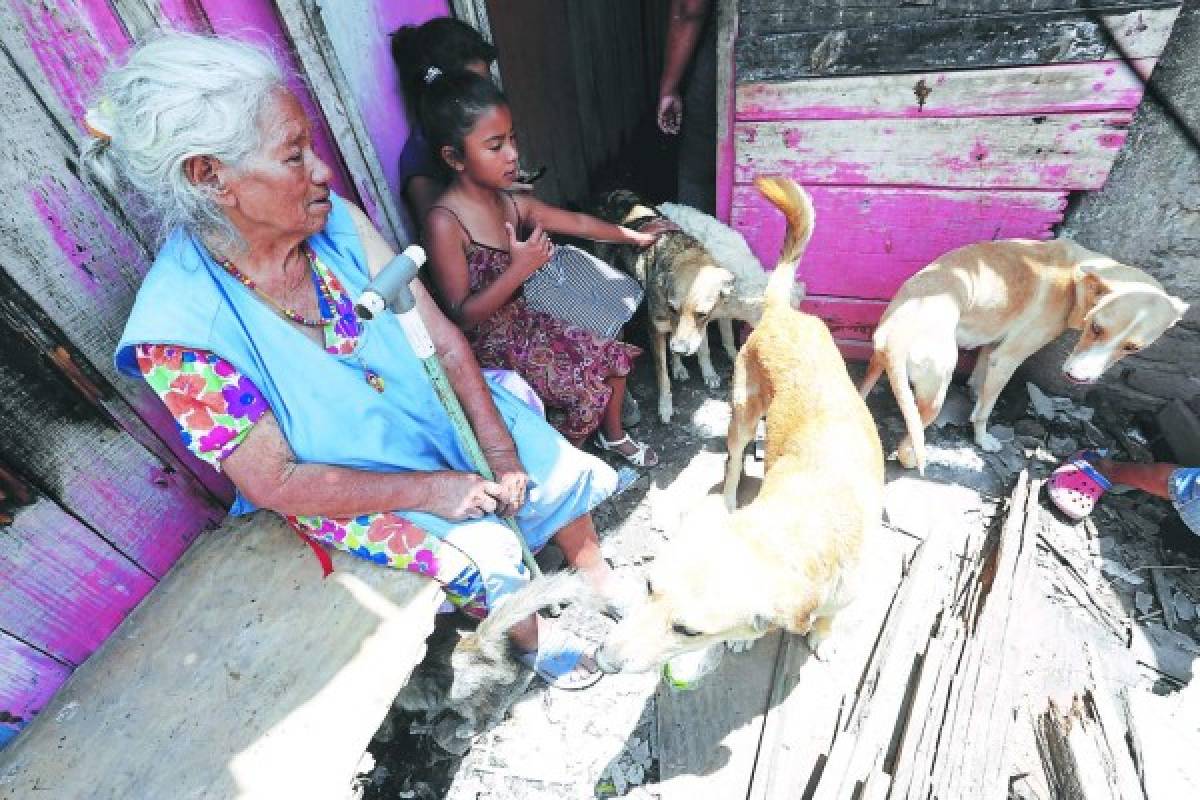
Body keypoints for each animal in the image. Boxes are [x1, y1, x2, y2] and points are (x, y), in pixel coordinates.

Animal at [592, 191, 806, 424]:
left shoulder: (716, 315)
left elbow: (724, 340)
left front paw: (730, 358)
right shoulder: (705, 317)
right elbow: (706, 347)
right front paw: (712, 371)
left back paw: (678, 366)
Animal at [859, 241, 1185, 472]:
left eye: (1132, 348)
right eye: (1096, 327)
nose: (1077, 379)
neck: (1077, 277)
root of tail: (897, 335)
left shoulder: (992, 349)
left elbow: (979, 387)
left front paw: (975, 395)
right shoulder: (1006, 359)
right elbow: (984, 411)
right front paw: (982, 439)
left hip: (877, 366)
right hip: (933, 396)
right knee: (908, 443)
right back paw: (912, 459)